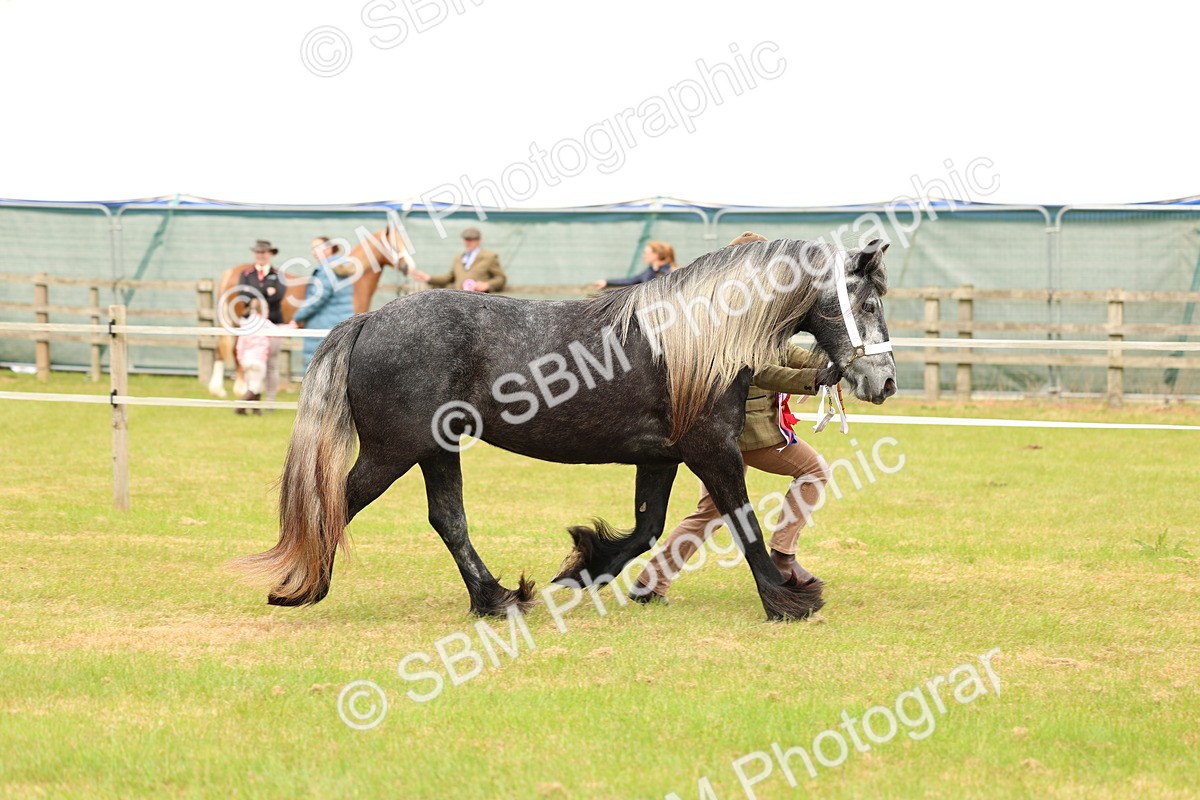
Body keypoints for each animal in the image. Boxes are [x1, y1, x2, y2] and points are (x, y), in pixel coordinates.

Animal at [233, 238, 897, 621]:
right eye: (867, 304)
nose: (884, 381)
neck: (698, 337)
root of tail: (369, 319)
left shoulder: (663, 456)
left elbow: (647, 530)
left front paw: (585, 567)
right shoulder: (713, 451)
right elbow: (744, 523)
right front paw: (787, 601)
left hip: (436, 449)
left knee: (447, 519)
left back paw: (497, 599)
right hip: (394, 451)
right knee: (337, 502)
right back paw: (300, 587)